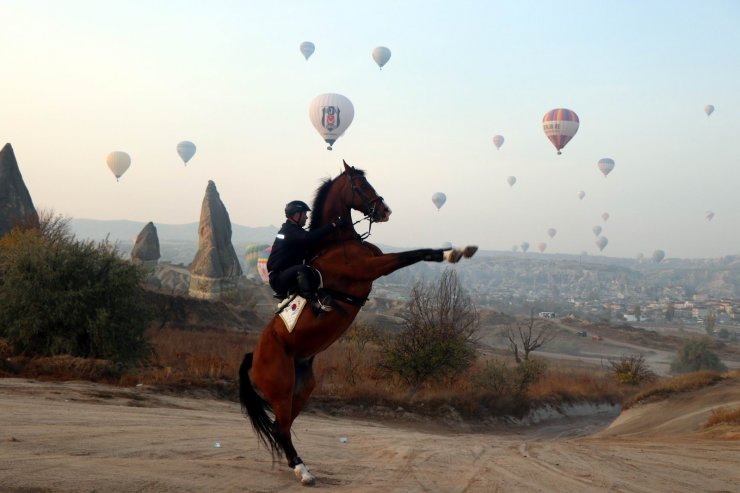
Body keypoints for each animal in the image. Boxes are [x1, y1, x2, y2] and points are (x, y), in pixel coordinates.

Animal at [240, 161, 476, 484]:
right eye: (361, 186)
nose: (385, 211)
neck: (338, 242)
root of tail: (254, 356)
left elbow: (420, 253)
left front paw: (459, 250)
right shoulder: (373, 267)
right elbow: (412, 254)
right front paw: (454, 252)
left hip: (302, 386)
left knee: (281, 426)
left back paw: (300, 466)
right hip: (281, 387)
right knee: (282, 428)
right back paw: (303, 471)